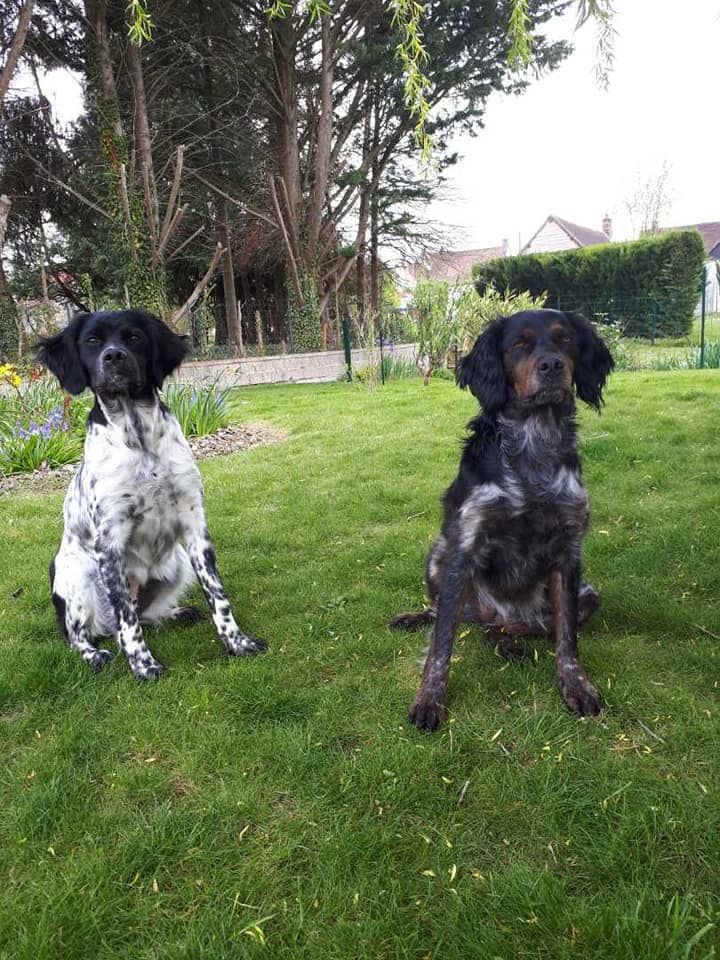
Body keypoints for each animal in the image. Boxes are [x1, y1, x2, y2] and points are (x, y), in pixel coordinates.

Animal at [37, 312, 268, 680]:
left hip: (177, 563)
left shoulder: (194, 524)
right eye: (92, 341)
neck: (139, 438)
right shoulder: (109, 541)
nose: (113, 357)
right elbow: (126, 622)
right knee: (84, 635)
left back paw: (175, 613)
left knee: (143, 615)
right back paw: (96, 654)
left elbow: (217, 595)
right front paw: (144, 666)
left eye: (134, 338)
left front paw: (238, 643)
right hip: (78, 573)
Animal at [390, 312, 616, 732]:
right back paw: (416, 618)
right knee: (445, 615)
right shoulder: (462, 548)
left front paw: (576, 685)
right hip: (437, 554)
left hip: (589, 595)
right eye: (518, 345)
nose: (552, 366)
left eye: (565, 340)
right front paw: (429, 699)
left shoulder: (569, 551)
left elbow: (566, 637)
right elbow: (441, 643)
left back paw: (508, 640)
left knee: (516, 627)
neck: (534, 441)